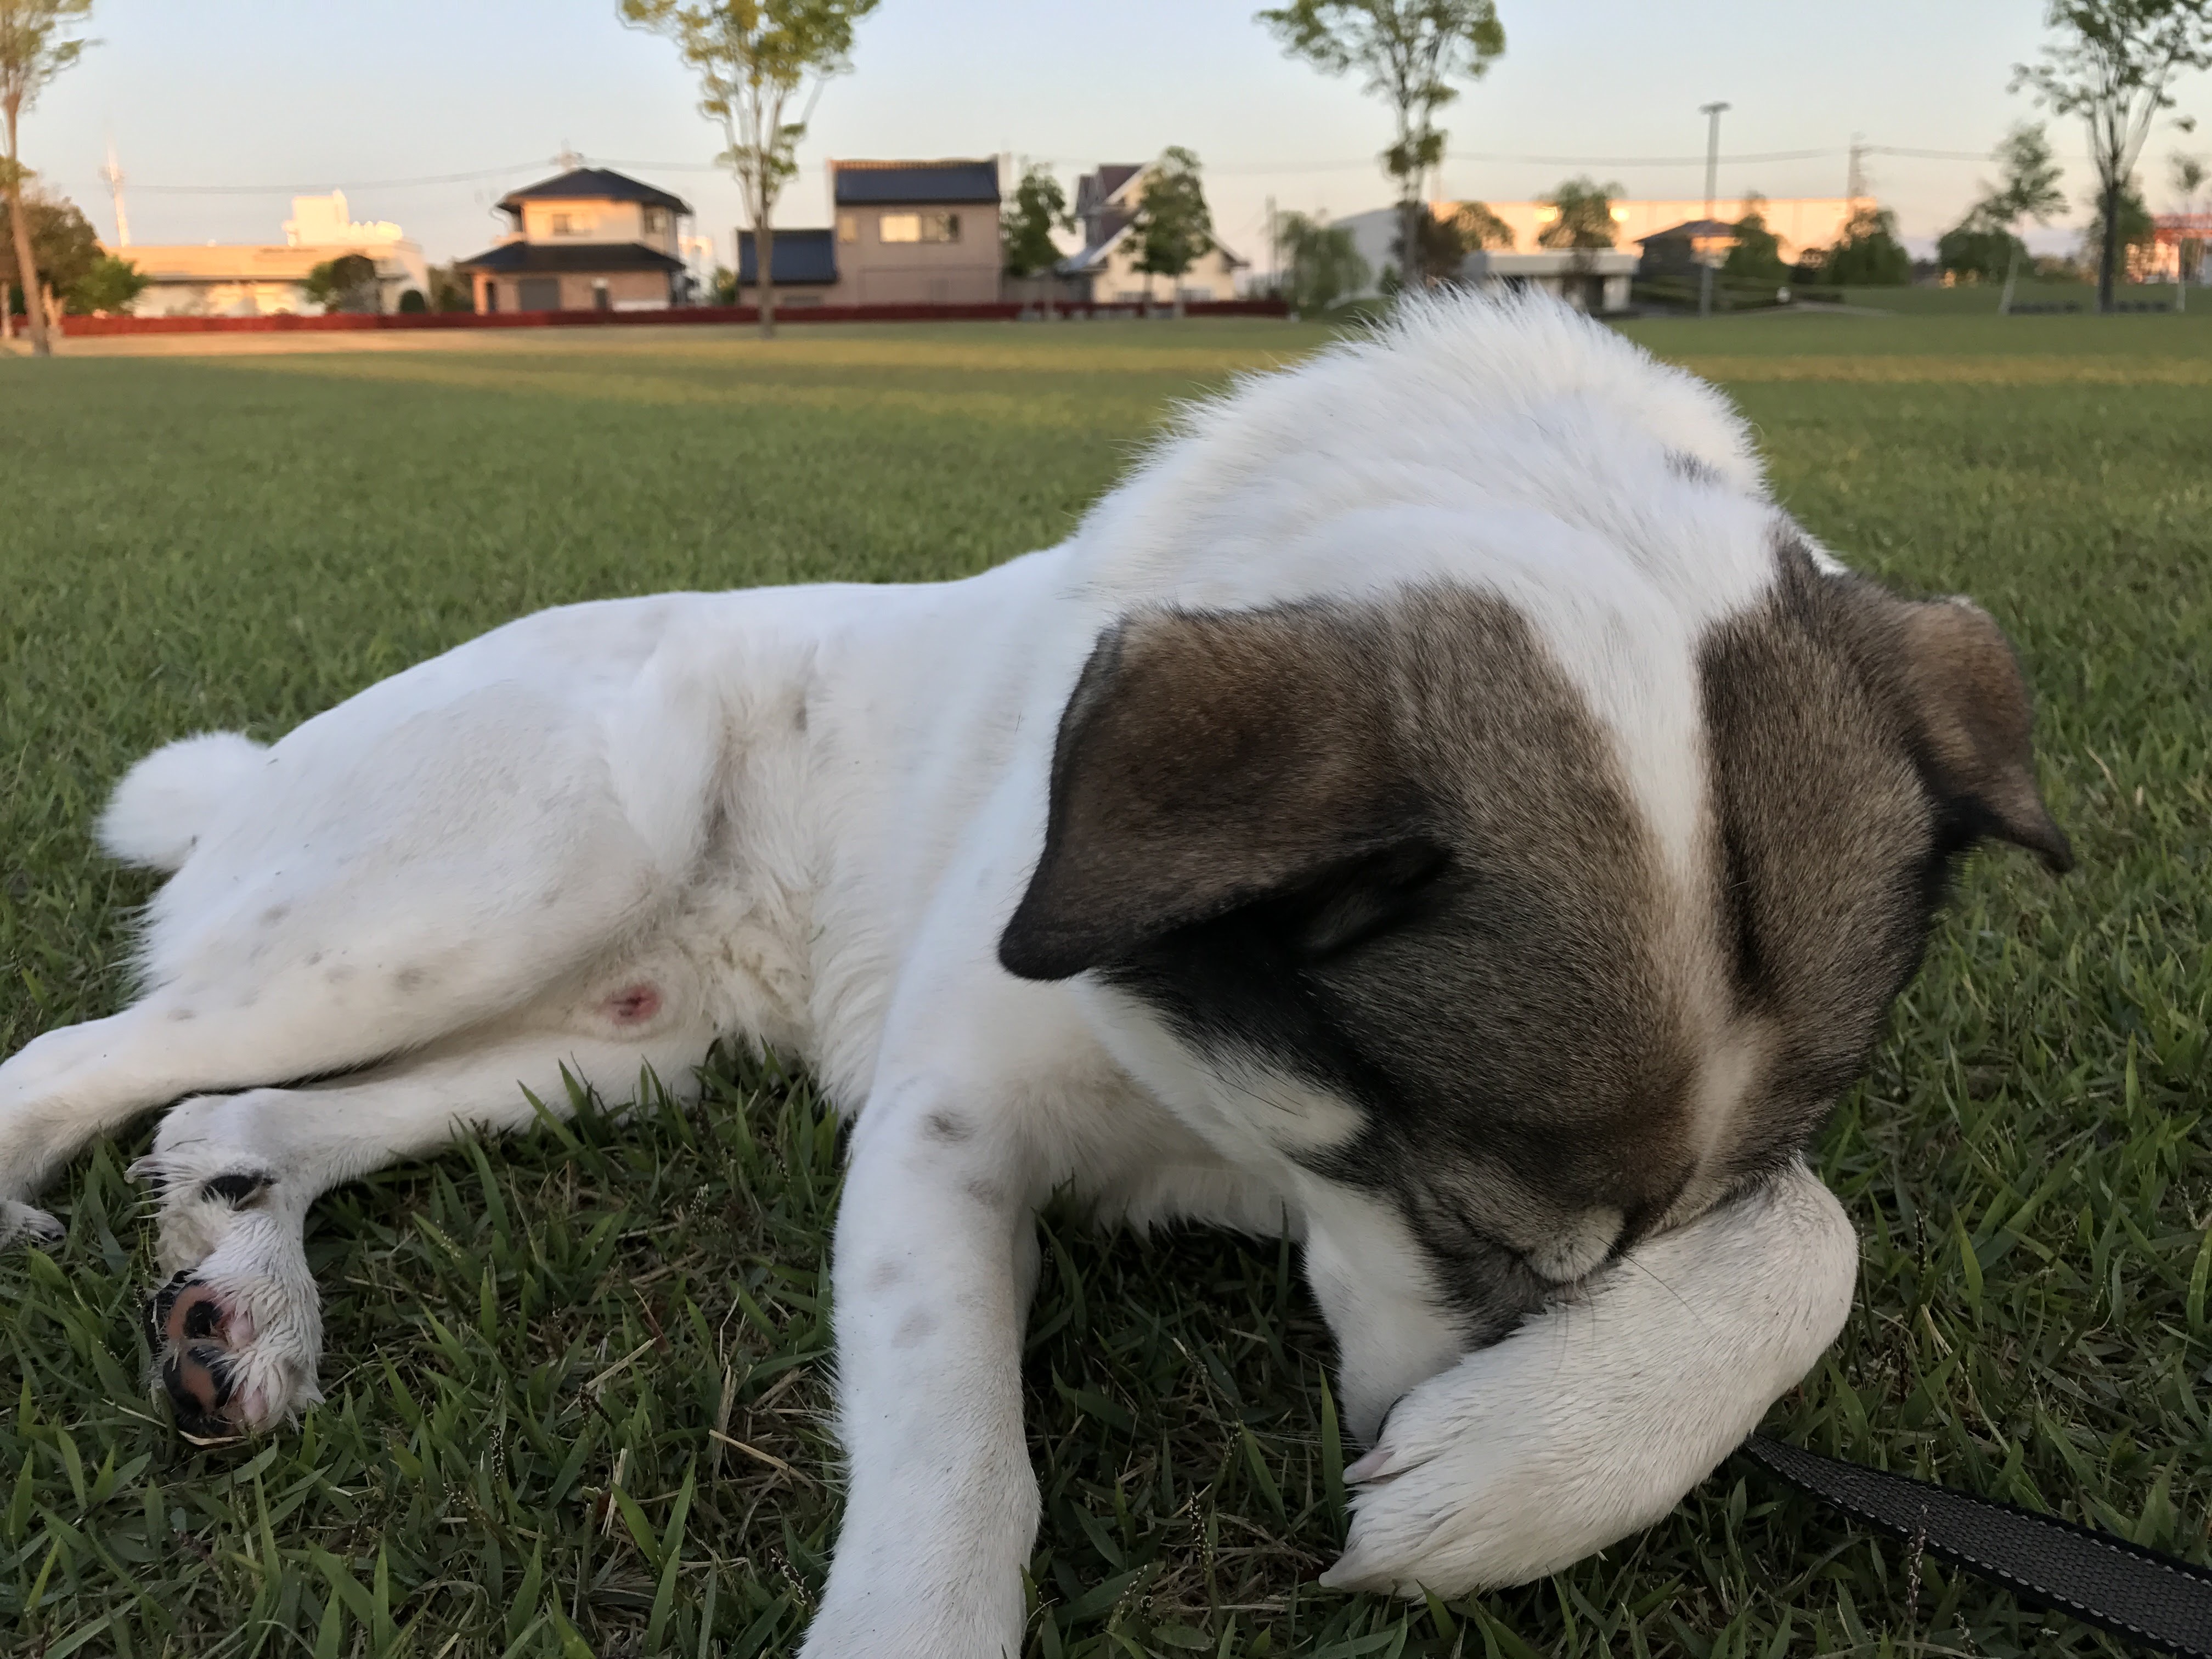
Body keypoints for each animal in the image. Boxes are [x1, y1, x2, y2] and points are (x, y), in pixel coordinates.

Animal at [0, 296, 2068, 1656]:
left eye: (1623, 1256)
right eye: (1453, 1213)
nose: (1381, 1439)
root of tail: (258, 770)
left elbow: (1815, 1241)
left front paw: (1535, 1464)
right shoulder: (944, 1132)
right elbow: (953, 1468)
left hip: (620, 1043)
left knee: (223, 1108)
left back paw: (240, 1289)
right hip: (529, 861)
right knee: (74, 1059)